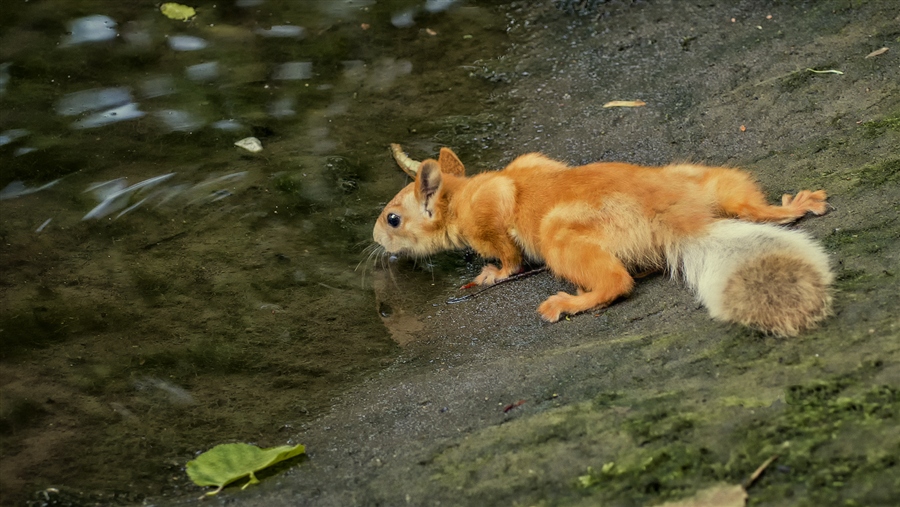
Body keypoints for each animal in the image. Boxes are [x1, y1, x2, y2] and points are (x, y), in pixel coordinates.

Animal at [370, 147, 828, 338]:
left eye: (393, 218)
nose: (374, 237)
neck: (462, 194)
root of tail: (679, 217)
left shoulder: (489, 217)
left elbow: (508, 256)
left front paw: (489, 275)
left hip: (559, 235)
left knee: (616, 282)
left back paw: (571, 303)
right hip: (700, 179)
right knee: (744, 201)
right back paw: (792, 207)